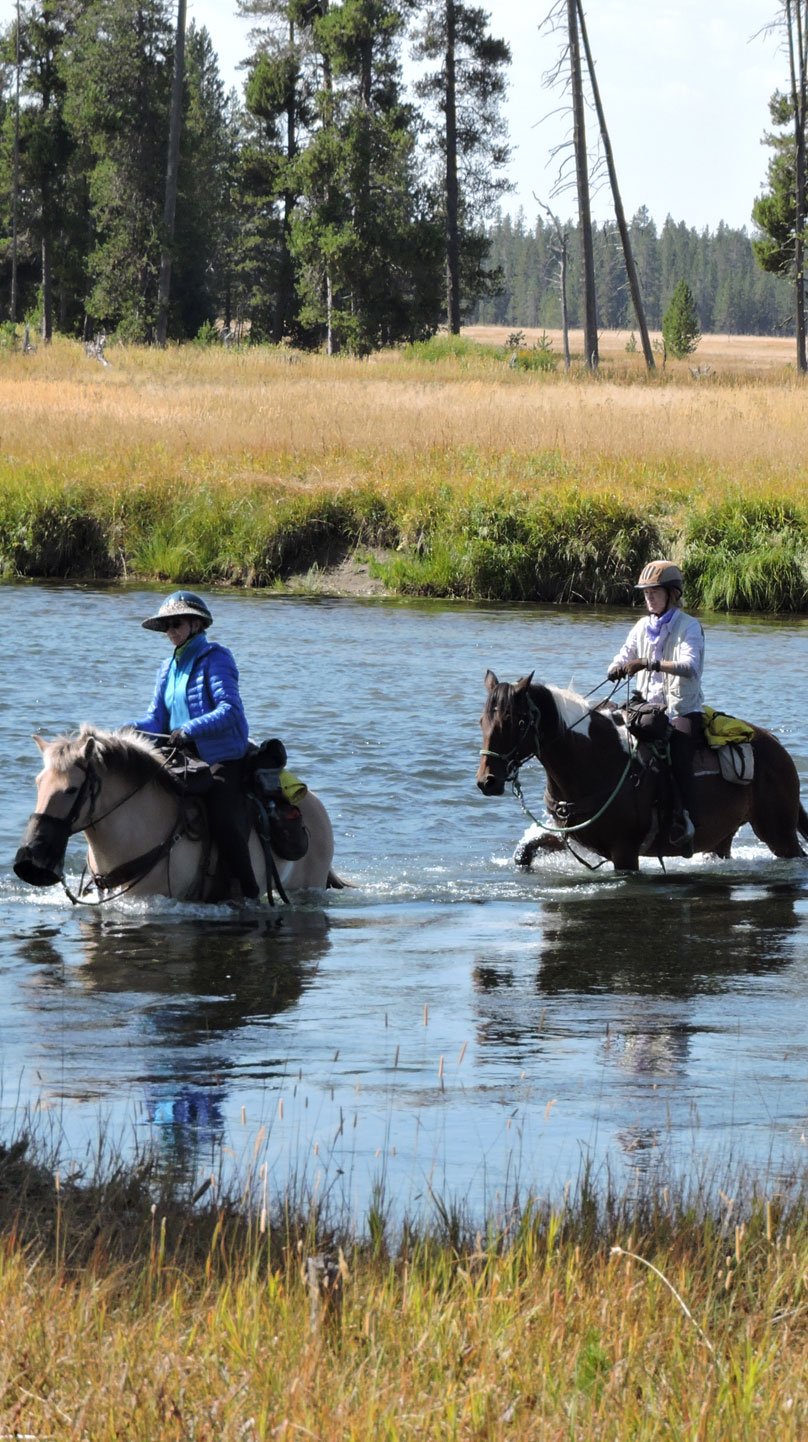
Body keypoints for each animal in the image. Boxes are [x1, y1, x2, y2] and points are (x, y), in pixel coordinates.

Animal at [476, 671, 808, 870]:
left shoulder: (625, 852)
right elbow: (525, 852)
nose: (486, 782)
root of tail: (777, 746)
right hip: (722, 836)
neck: (594, 759)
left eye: (517, 721)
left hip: (779, 833)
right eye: (482, 721)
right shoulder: (573, 833)